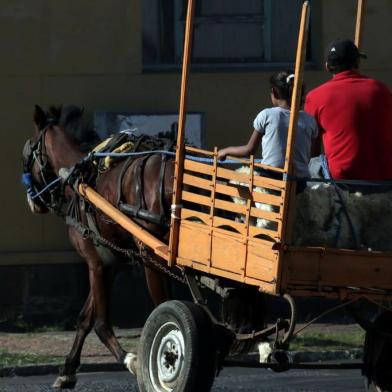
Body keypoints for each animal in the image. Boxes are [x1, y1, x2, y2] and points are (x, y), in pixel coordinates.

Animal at [21, 105, 175, 388]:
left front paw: (131, 361)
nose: (33, 201)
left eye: (27, 154)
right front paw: (67, 370)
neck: (80, 180)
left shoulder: (95, 262)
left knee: (166, 307)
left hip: (154, 260)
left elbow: (101, 324)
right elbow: (85, 318)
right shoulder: (108, 263)